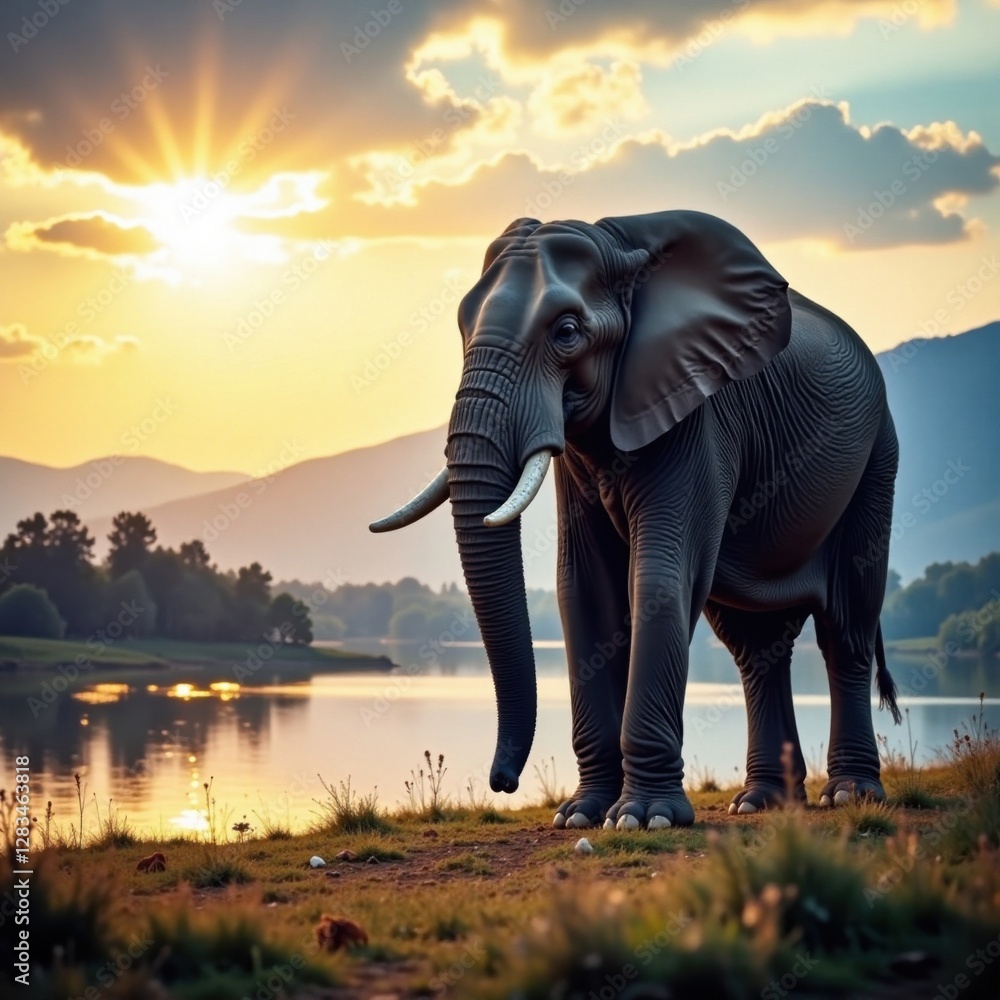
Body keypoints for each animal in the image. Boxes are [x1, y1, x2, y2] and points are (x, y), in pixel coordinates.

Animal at [371, 209, 901, 830]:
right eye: (460, 325)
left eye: (567, 332)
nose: (502, 781)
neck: (621, 246)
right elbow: (584, 588)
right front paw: (580, 816)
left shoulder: (698, 414)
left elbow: (658, 578)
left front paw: (644, 819)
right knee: (756, 646)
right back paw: (760, 802)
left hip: (876, 459)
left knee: (847, 626)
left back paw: (850, 795)